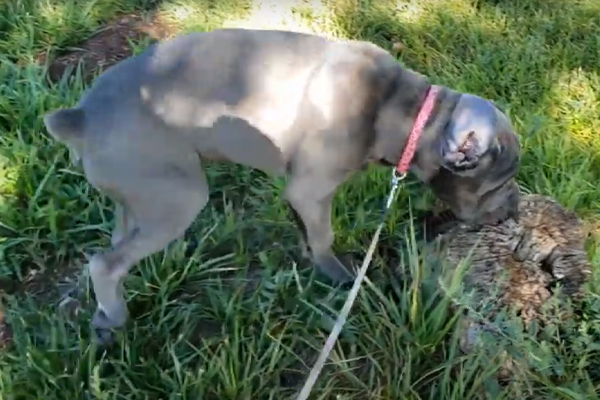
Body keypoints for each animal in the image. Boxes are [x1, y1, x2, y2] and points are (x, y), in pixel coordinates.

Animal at [42, 29, 520, 344]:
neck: (400, 109)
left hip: (138, 195)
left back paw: (104, 317)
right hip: (178, 196)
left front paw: (312, 263)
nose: (515, 209)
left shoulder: (301, 195)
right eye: (500, 183)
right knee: (105, 263)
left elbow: (307, 232)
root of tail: (82, 116)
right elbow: (324, 234)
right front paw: (340, 277)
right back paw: (117, 317)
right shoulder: (312, 190)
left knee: (113, 246)